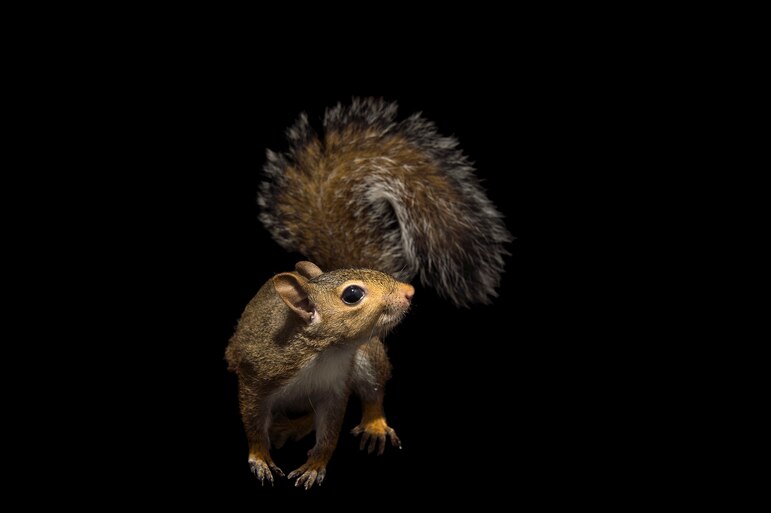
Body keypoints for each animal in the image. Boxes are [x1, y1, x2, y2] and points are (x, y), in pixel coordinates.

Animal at [225, 98, 512, 489]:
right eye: (352, 295)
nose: (408, 291)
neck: (321, 351)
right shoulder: (256, 378)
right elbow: (254, 423)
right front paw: (260, 458)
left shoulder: (334, 390)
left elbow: (330, 430)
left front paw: (315, 465)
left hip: (367, 359)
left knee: (368, 393)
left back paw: (364, 425)